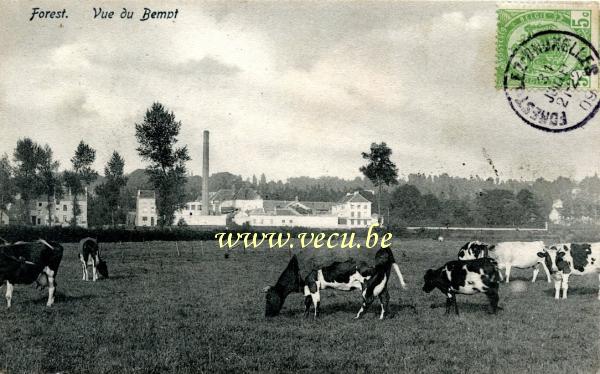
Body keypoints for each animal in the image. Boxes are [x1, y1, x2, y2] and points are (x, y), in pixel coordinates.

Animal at [264, 248, 408, 318]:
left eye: (269, 298)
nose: (266, 315)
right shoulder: (307, 285)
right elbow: (307, 301)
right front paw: (304, 316)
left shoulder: (312, 282)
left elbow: (316, 301)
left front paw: (315, 317)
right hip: (382, 283)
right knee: (385, 298)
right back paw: (382, 317)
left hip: (367, 284)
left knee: (368, 299)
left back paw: (358, 316)